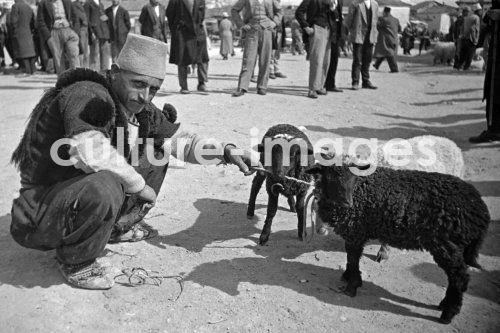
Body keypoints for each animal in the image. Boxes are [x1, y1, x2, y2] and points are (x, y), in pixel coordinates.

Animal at [306, 160, 490, 322]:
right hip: (455, 246)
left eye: (353, 178)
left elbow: (353, 259)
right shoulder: (356, 233)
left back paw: (448, 314)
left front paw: (352, 287)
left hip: (446, 245)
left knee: (459, 277)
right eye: (330, 177)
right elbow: (351, 259)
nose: (347, 204)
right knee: (455, 277)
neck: (360, 191)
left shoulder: (355, 231)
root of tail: (480, 210)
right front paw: (347, 277)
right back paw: (444, 305)